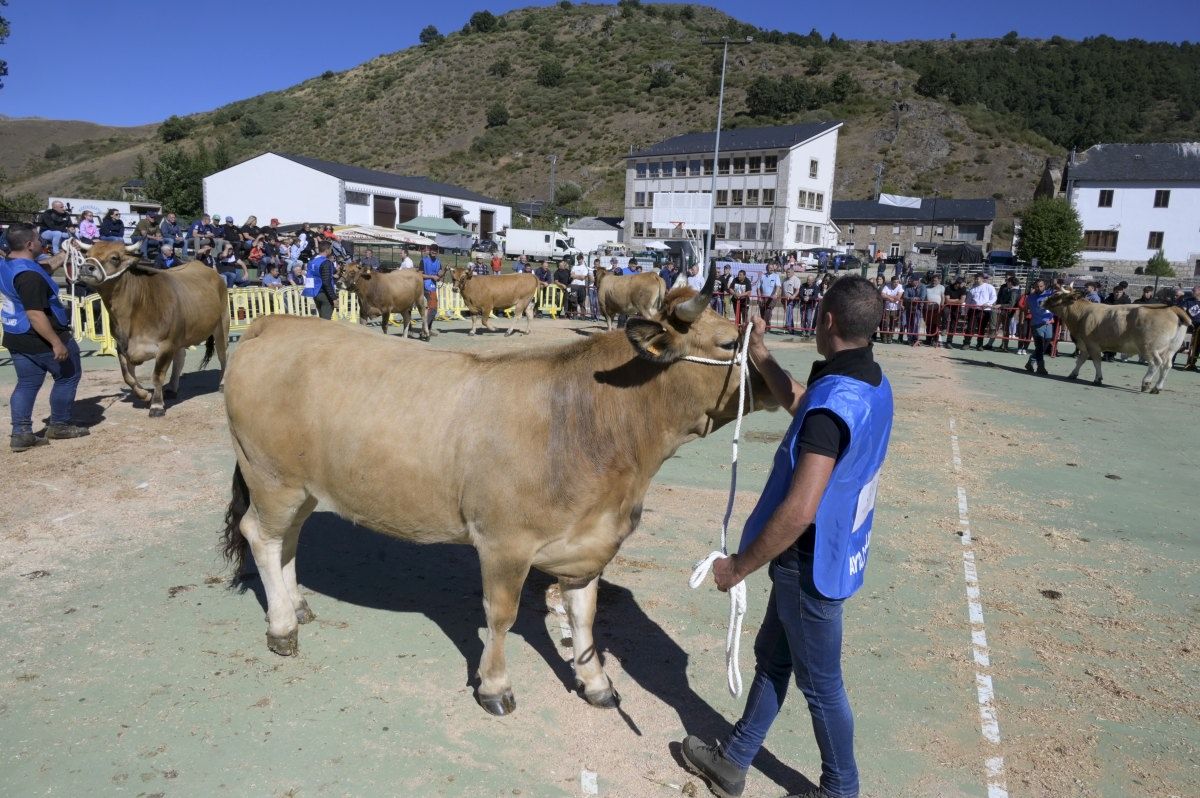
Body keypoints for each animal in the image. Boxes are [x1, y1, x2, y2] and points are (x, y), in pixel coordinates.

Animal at [73, 237, 229, 412]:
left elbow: (157, 375)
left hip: (222, 324)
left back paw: (222, 383)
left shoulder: (166, 345)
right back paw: (172, 388)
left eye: (114, 257)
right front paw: (145, 395)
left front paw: (156, 405)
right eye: (87, 255)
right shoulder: (122, 346)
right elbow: (128, 377)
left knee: (223, 354)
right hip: (181, 334)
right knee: (180, 357)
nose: (86, 267)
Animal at [218, 272, 777, 715]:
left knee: (288, 539)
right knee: (262, 537)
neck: (591, 420)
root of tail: (276, 324)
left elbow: (584, 615)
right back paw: (282, 628)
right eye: (729, 343)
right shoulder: (504, 541)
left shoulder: (589, 542)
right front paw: (494, 686)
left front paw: (595, 682)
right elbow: (500, 615)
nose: (780, 384)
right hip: (271, 476)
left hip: (302, 487)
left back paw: (295, 606)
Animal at [1041, 286, 1190, 391]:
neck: (1083, 313)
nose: (1041, 301)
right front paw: (1073, 374)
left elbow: (1096, 362)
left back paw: (1146, 383)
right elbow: (1080, 361)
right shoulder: (1084, 345)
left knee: (1155, 364)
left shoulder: (1092, 345)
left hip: (1149, 348)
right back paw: (1157, 388)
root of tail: (1172, 308)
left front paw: (1098, 379)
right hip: (1171, 349)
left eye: (1056, 295)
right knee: (1167, 365)